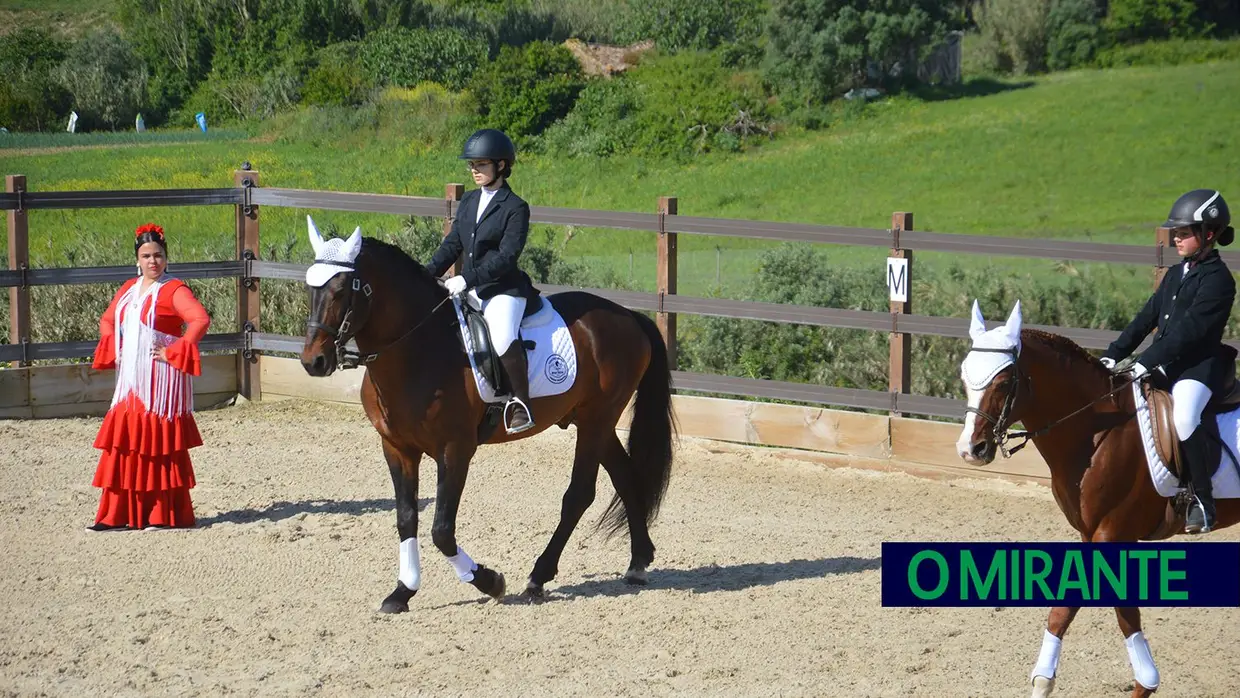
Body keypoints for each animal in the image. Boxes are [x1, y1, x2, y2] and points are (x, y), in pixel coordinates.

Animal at [297, 220, 679, 614]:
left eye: (342, 290)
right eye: (310, 286)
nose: (314, 361)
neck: (417, 349)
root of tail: (629, 316)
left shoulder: (455, 449)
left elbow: (441, 530)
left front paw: (490, 581)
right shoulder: (397, 448)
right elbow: (406, 519)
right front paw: (402, 592)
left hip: (596, 420)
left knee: (579, 495)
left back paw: (539, 576)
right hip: (594, 422)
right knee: (625, 477)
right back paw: (637, 563)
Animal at [957, 301, 1240, 698]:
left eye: (1002, 381)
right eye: (964, 377)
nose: (970, 450)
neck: (1096, 432)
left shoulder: (1112, 535)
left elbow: (1107, 610)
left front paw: (1145, 681)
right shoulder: (1091, 534)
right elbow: (1080, 609)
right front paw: (1045, 681)